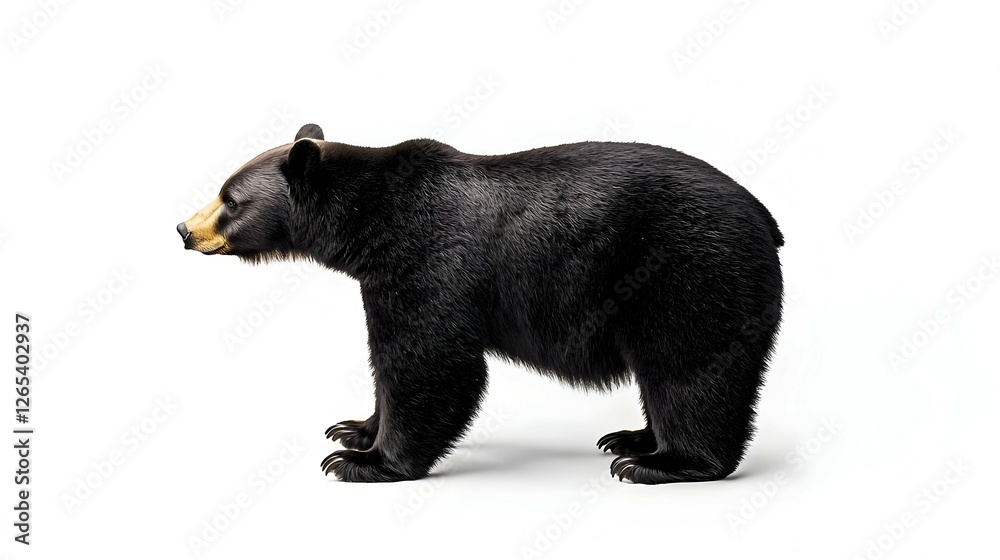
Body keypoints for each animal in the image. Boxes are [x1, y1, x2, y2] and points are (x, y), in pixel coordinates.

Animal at [177, 123, 784, 484]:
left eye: (230, 199)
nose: (184, 229)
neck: (372, 218)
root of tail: (767, 220)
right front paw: (355, 429)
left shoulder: (427, 257)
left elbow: (431, 361)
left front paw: (362, 461)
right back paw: (631, 438)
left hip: (690, 271)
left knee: (688, 366)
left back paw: (660, 462)